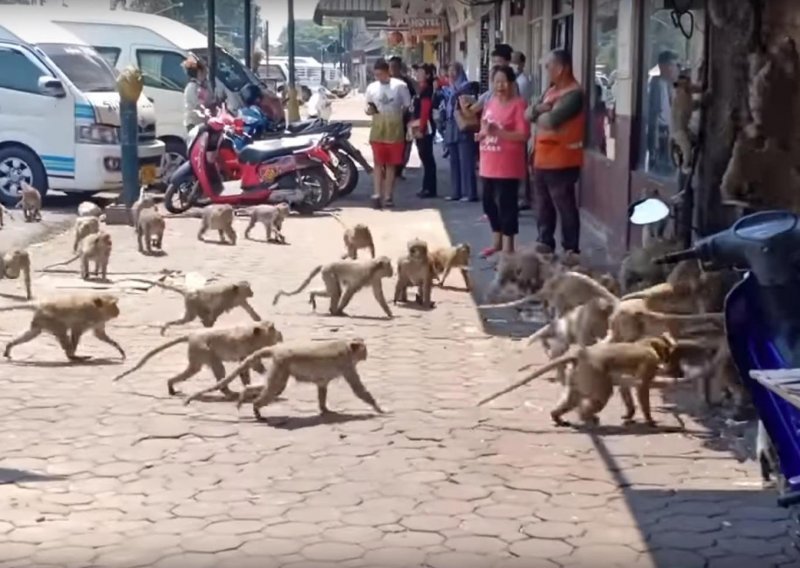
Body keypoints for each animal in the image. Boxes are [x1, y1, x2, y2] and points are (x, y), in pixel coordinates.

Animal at [113, 322, 284, 398]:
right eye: (273, 328)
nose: (280, 333)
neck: (253, 333)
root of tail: (191, 335)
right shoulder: (247, 346)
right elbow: (252, 365)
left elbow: (245, 368)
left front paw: (251, 386)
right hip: (202, 349)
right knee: (211, 367)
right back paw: (226, 391)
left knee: (195, 369)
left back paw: (171, 385)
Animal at [188, 338, 388, 422]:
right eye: (364, 348)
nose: (367, 353)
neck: (347, 347)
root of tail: (277, 349)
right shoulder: (346, 363)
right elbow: (358, 389)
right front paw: (378, 408)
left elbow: (322, 387)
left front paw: (325, 410)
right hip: (282, 364)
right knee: (275, 388)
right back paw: (256, 408)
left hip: (279, 365)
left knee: (272, 386)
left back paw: (246, 393)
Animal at [482, 332, 676, 426]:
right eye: (666, 350)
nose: (668, 359)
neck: (646, 345)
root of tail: (580, 355)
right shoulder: (649, 363)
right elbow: (642, 388)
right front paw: (649, 420)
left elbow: (625, 388)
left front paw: (629, 413)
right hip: (594, 373)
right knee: (601, 395)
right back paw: (586, 416)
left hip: (579, 374)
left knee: (573, 397)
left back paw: (557, 416)